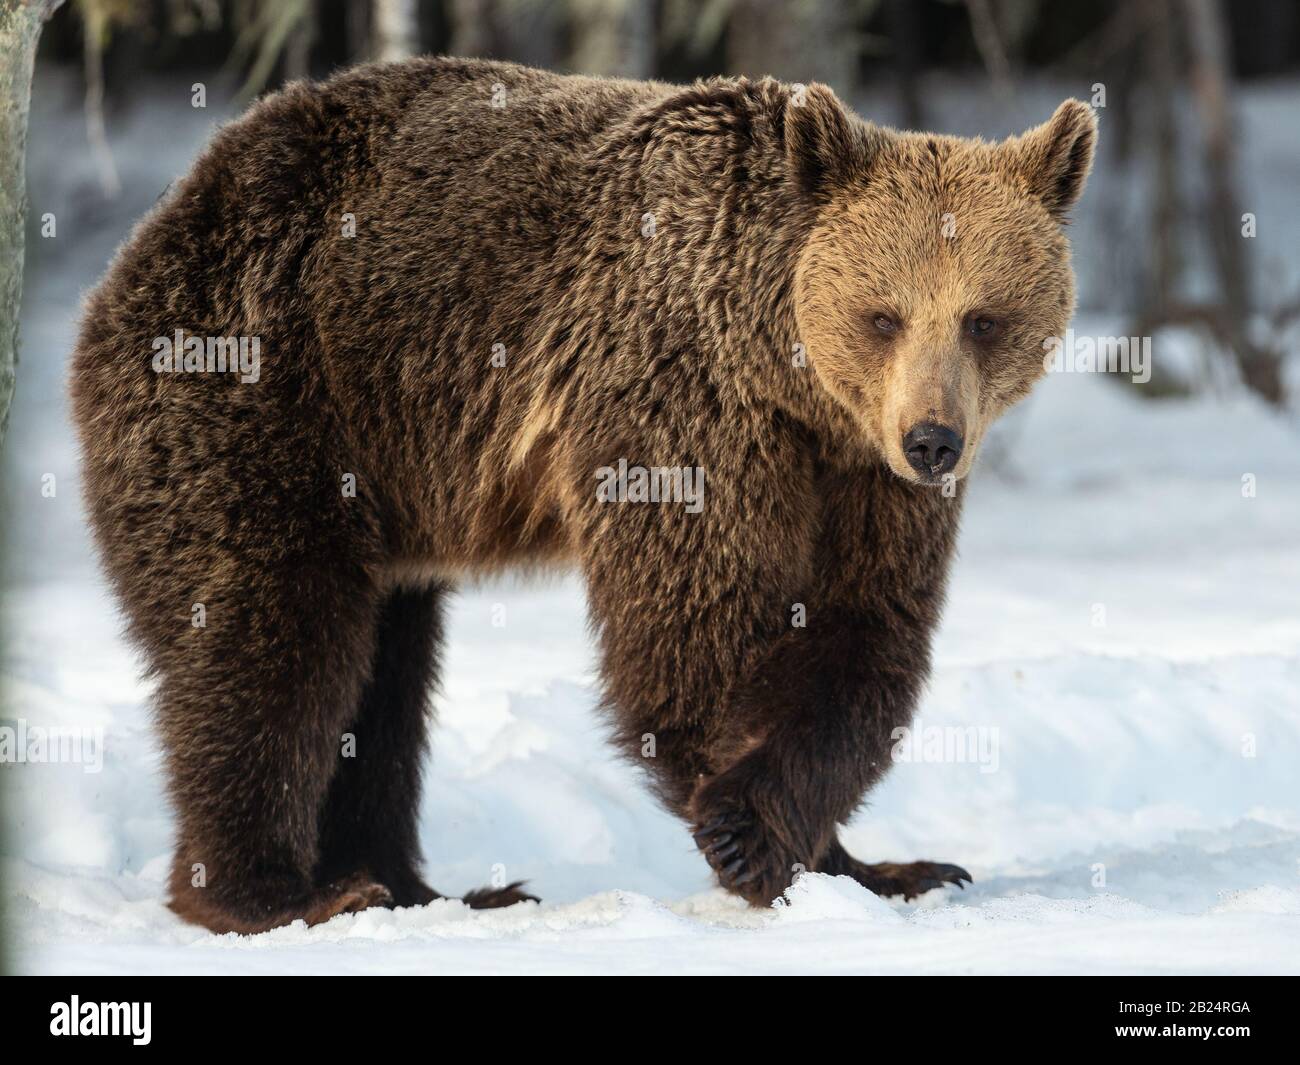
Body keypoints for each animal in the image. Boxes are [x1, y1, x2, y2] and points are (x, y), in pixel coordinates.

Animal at [70, 57, 1096, 934]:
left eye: (984, 318)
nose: (932, 439)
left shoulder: (860, 475)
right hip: (266, 393)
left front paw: (876, 863)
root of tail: (150, 236)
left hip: (383, 487)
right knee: (274, 640)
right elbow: (689, 631)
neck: (784, 376)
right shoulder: (677, 399)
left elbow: (863, 631)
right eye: (884, 314)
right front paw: (748, 831)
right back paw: (282, 893)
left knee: (387, 673)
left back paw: (423, 885)